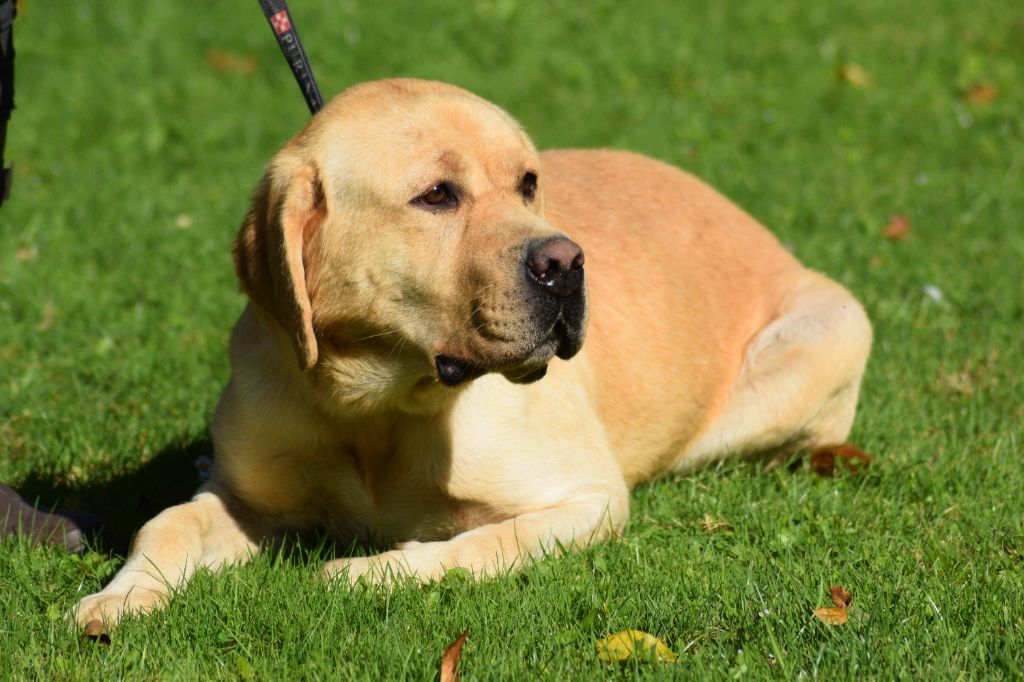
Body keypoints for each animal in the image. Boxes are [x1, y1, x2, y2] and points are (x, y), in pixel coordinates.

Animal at [72, 78, 872, 626]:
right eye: (436, 195)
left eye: (528, 183)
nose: (567, 264)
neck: (377, 407)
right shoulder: (246, 498)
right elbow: (168, 522)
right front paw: (124, 595)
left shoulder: (590, 498)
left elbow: (483, 544)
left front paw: (369, 572)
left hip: (825, 336)